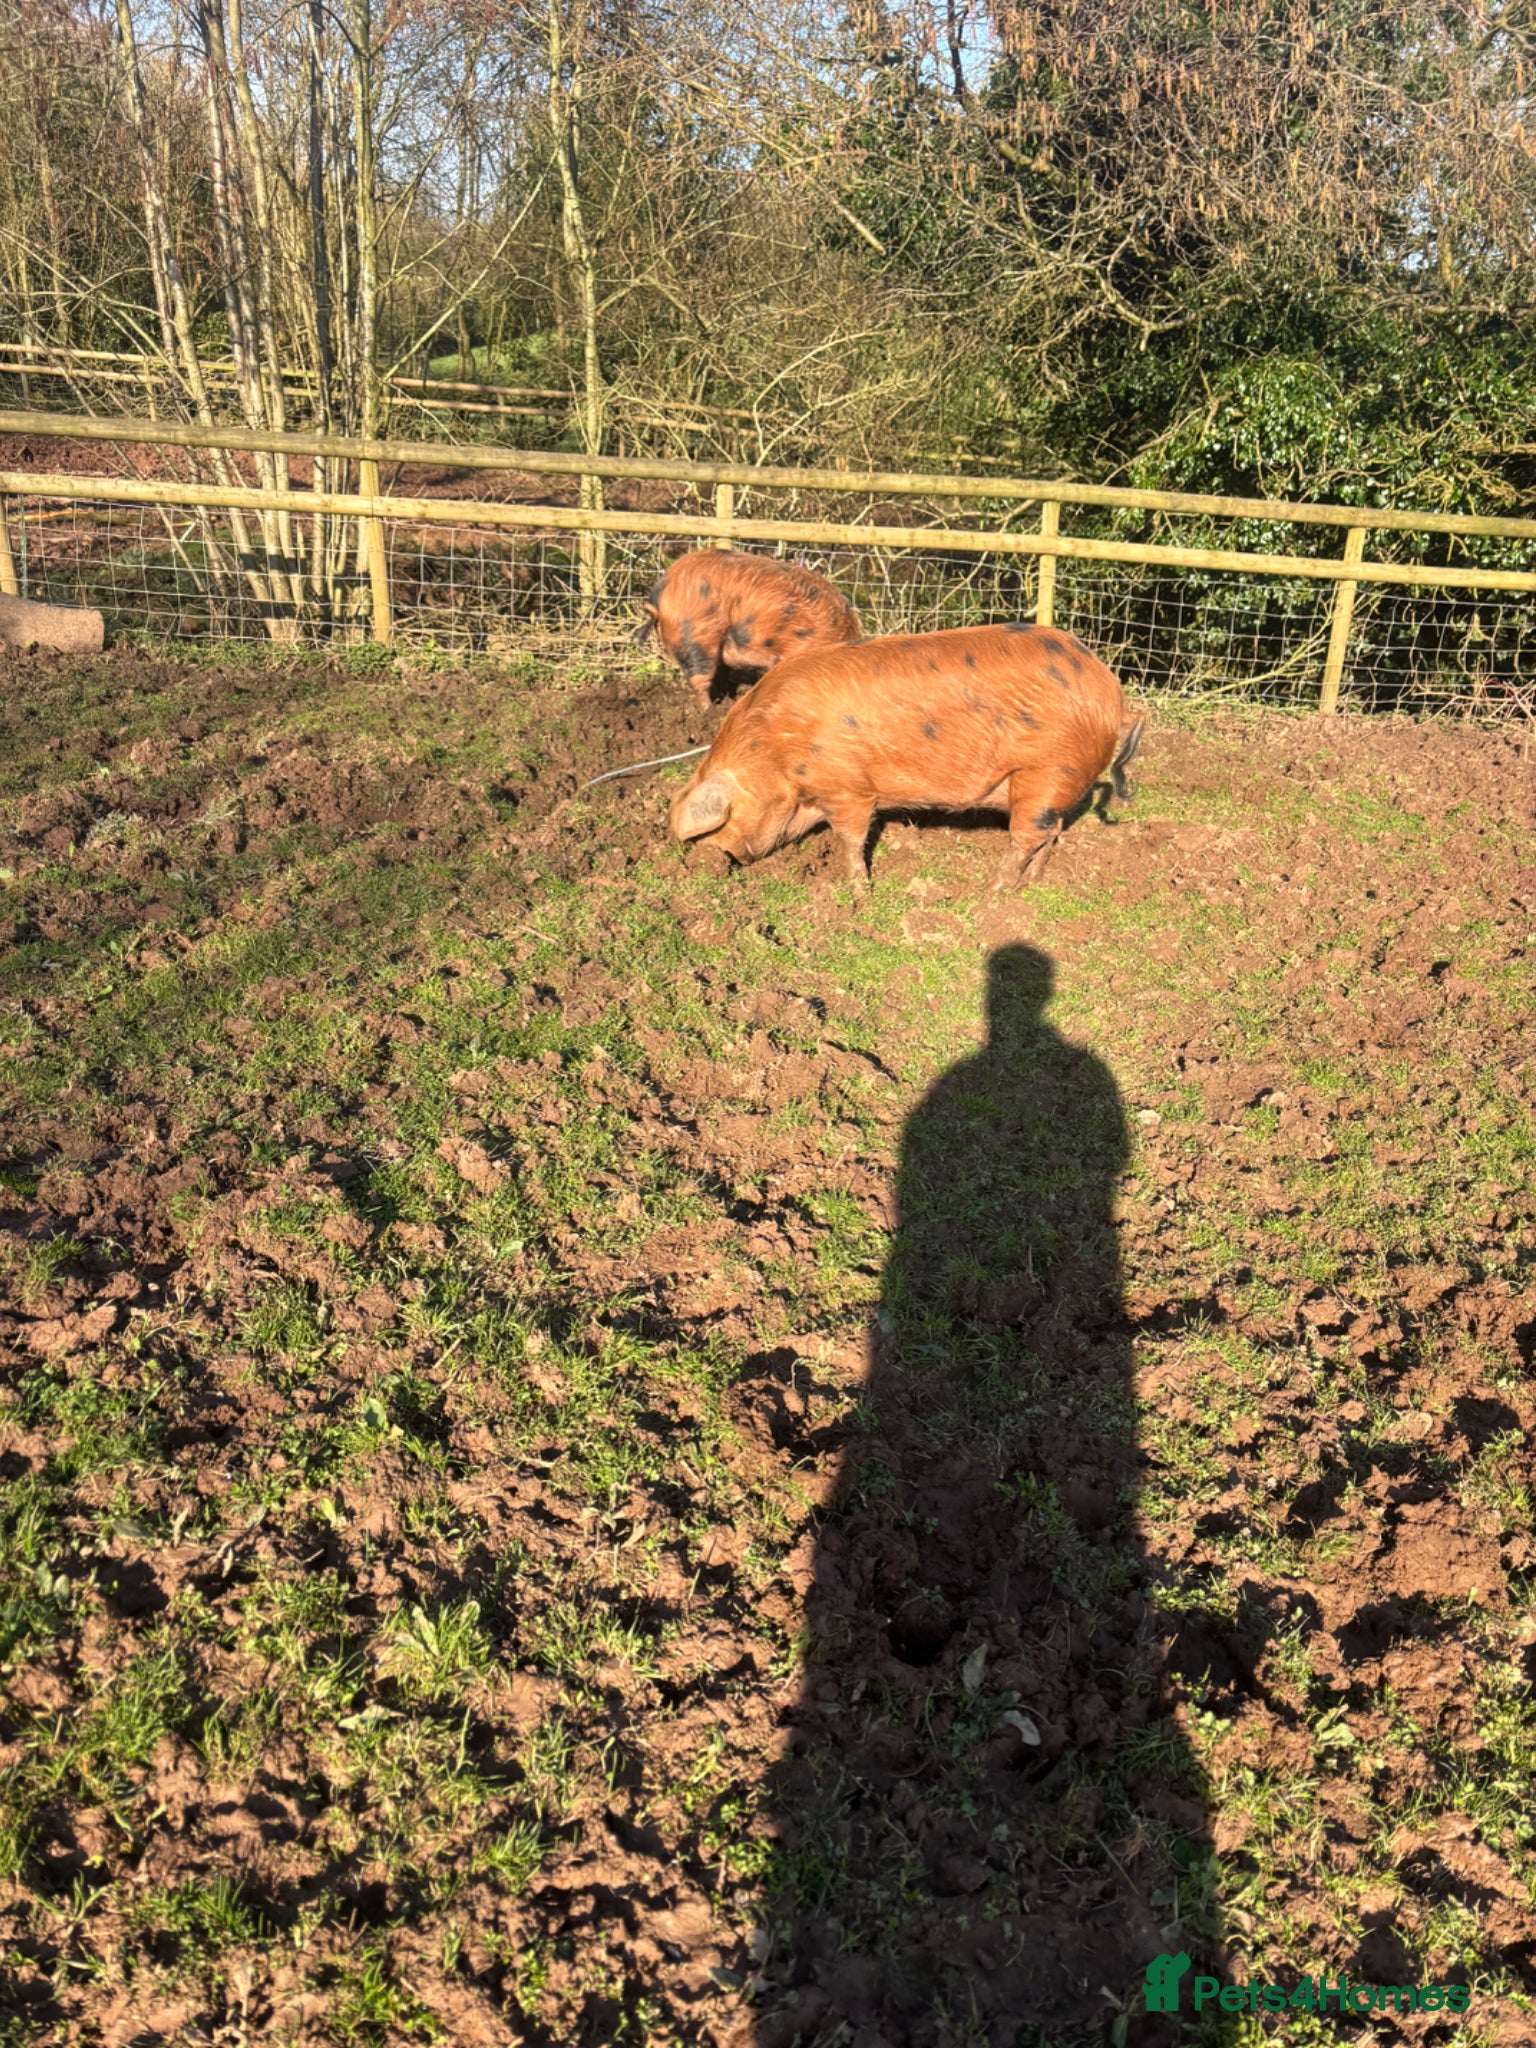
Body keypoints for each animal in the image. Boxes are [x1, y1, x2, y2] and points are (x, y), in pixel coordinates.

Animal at [668, 622, 1143, 888]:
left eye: (718, 825)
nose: (714, 863)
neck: (775, 751)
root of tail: (1112, 694)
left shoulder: (848, 788)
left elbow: (851, 838)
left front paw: (856, 890)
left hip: (1047, 771)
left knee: (1029, 836)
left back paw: (993, 893)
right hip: (1053, 783)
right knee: (1053, 831)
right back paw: (1035, 885)